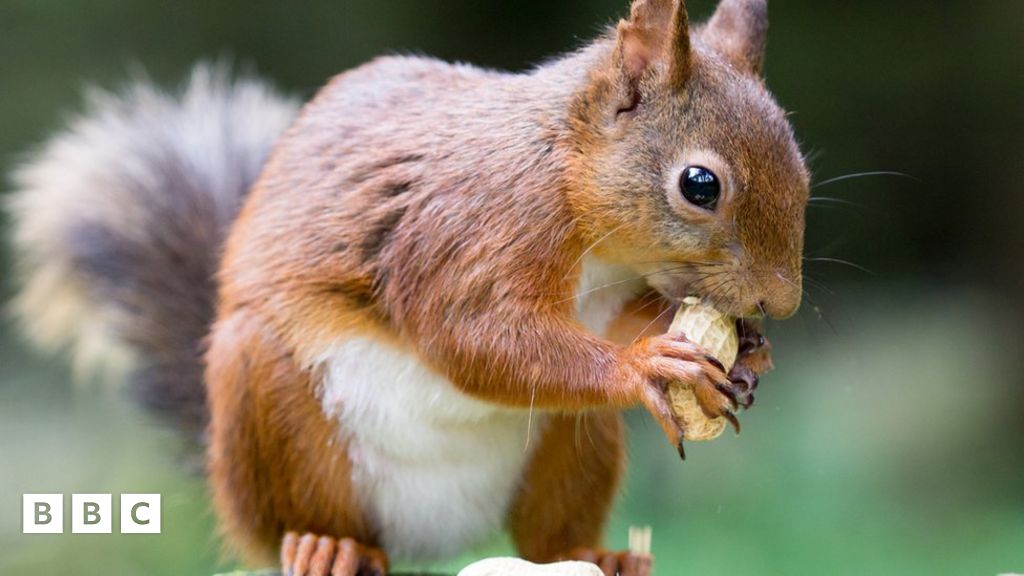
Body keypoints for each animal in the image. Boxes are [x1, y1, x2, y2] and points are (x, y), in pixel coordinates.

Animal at [7, 0, 806, 575]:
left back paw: (597, 555)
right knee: (303, 526)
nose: (781, 303)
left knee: (548, 539)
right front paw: (646, 366)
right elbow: (474, 336)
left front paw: (746, 353)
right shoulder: (469, 231)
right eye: (699, 184)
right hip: (263, 399)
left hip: (572, 442)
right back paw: (326, 549)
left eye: (799, 163)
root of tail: (436, 537)